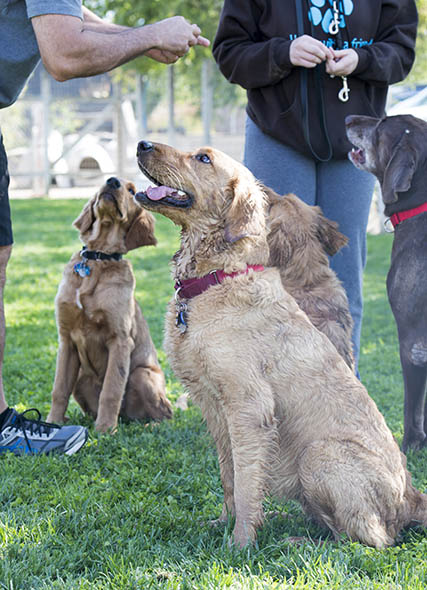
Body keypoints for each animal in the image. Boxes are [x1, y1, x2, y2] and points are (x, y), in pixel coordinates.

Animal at [47, 178, 172, 432]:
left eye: (132, 191)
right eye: (107, 181)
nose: (112, 181)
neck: (98, 257)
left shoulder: (120, 339)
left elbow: (111, 390)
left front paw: (104, 430)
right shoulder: (66, 340)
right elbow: (59, 389)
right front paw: (53, 422)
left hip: (142, 374)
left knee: (165, 415)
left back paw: (146, 426)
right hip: (81, 375)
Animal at [135, 142, 427, 552]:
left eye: (203, 158)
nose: (142, 145)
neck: (217, 277)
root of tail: (412, 497)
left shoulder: (249, 408)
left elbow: (245, 483)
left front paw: (240, 544)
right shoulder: (214, 408)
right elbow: (229, 476)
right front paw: (225, 523)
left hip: (319, 455)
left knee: (366, 537)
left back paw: (297, 541)